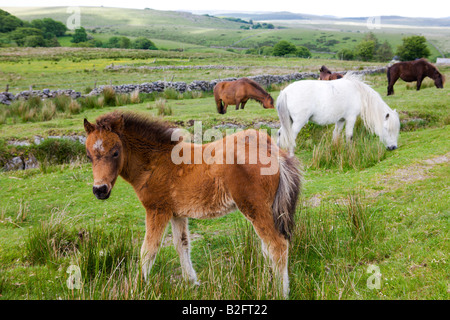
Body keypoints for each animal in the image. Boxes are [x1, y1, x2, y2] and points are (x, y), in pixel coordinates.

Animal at [84, 110, 302, 298]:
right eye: (88, 155)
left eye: (115, 152)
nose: (99, 190)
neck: (155, 162)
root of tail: (272, 150)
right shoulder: (177, 214)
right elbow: (181, 245)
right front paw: (192, 282)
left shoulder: (157, 210)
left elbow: (148, 250)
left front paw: (136, 288)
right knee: (269, 248)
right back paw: (266, 282)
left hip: (256, 208)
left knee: (277, 245)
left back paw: (280, 292)